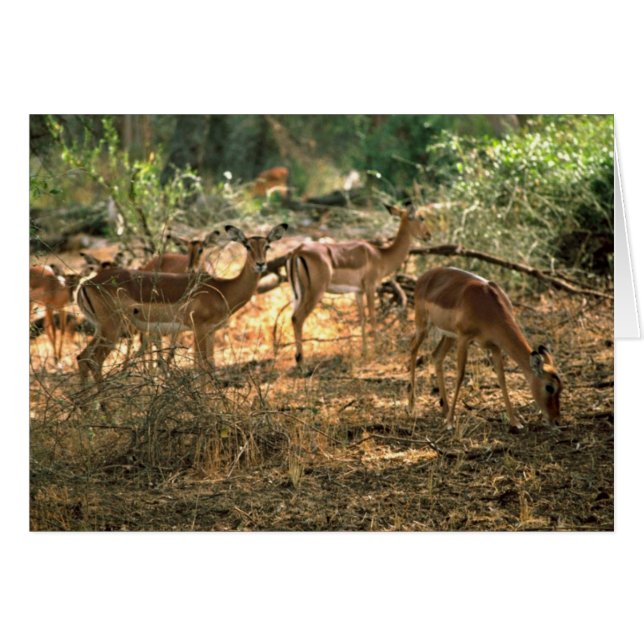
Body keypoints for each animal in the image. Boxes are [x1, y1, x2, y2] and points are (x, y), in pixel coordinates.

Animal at [76, 223, 288, 384]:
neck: (222, 288)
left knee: (82, 357)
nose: (260, 264)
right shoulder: (200, 329)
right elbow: (202, 369)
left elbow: (211, 365)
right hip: (112, 329)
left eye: (267, 245)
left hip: (101, 329)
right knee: (94, 360)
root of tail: (86, 284)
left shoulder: (211, 332)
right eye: (247, 245)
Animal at [286, 204, 431, 365]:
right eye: (421, 217)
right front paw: (377, 350)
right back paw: (301, 362)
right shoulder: (370, 287)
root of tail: (297, 252)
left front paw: (364, 352)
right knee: (298, 318)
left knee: (292, 317)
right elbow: (373, 317)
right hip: (315, 292)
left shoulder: (358, 292)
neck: (380, 256)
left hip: (298, 294)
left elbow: (362, 319)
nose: (428, 235)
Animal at [408, 266, 562, 429]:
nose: (557, 421)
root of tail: (425, 276)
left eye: (561, 387)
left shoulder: (495, 346)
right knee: (413, 348)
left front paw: (515, 422)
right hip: (423, 325)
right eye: (549, 387)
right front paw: (450, 423)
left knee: (436, 356)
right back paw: (412, 408)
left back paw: (445, 410)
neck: (487, 305)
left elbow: (502, 378)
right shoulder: (464, 339)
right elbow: (460, 375)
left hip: (448, 336)